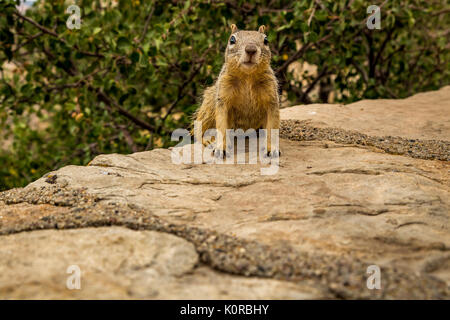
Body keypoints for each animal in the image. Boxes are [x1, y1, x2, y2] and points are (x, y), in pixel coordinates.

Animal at [192, 24, 282, 157]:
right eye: (232, 40)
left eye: (266, 40)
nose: (251, 49)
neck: (247, 77)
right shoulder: (222, 97)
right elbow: (221, 125)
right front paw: (221, 148)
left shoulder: (271, 98)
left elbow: (272, 127)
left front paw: (272, 149)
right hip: (208, 107)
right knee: (199, 130)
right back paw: (208, 140)